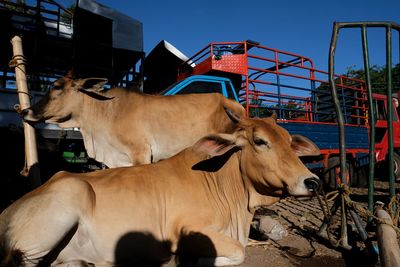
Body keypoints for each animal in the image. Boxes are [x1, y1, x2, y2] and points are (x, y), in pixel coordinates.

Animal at [0, 116, 318, 266]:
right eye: (260, 141)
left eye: (290, 141)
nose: (312, 181)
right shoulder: (187, 230)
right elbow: (239, 252)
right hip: (69, 195)